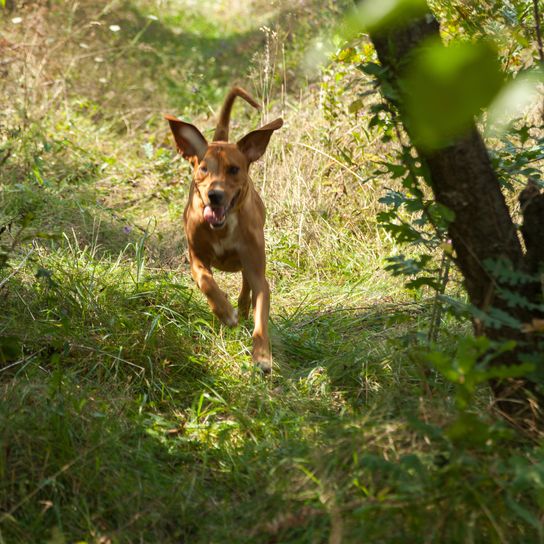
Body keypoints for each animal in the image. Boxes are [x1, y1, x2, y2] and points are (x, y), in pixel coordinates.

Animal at [166, 87, 282, 372]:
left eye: (234, 169)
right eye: (203, 168)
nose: (214, 195)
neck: (222, 227)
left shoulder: (257, 271)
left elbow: (260, 316)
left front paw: (262, 356)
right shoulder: (197, 260)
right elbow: (207, 283)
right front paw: (225, 311)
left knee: (246, 286)